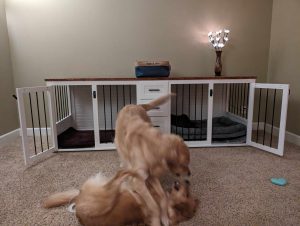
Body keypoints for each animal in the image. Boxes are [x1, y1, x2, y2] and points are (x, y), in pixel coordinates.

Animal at [113, 93, 191, 226]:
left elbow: (163, 197)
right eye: (184, 164)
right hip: (119, 143)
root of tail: (136, 105)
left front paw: (164, 217)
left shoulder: (152, 175)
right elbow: (154, 205)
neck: (150, 145)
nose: (190, 174)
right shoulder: (138, 181)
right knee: (124, 157)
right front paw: (156, 220)